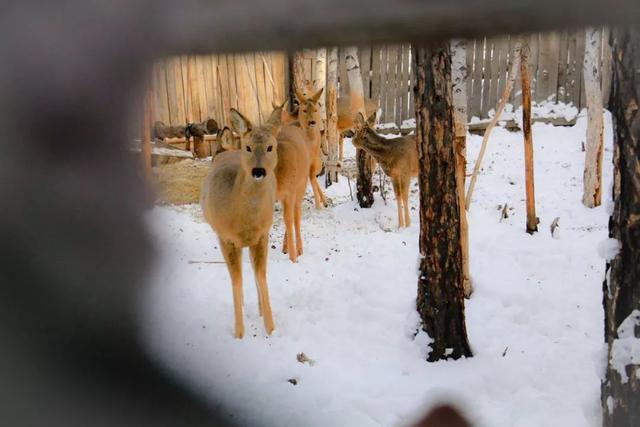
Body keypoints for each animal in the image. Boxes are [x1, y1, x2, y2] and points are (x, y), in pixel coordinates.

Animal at [200, 106, 280, 338]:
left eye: (270, 147)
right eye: (248, 147)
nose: (258, 171)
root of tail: (225, 150)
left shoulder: (262, 235)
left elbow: (261, 275)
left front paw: (270, 329)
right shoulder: (225, 237)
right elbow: (236, 280)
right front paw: (239, 333)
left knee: (252, 271)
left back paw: (259, 309)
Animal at [219, 104, 312, 264]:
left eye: (270, 147)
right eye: (247, 147)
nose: (258, 171)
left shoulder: (290, 190)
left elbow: (289, 219)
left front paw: (293, 259)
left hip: (302, 182)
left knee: (296, 214)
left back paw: (298, 249)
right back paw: (285, 247)